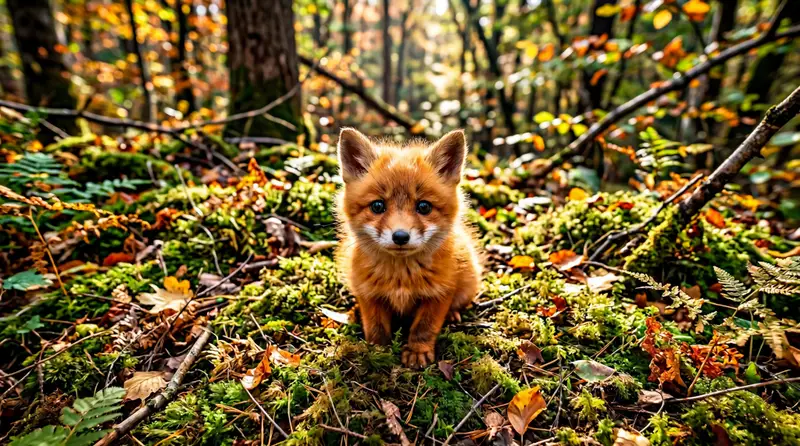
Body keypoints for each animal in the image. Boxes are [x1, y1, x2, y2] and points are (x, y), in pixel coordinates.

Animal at [335, 128, 482, 368]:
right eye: (378, 206)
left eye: (424, 206)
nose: (401, 236)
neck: (401, 277)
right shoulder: (369, 293)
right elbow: (375, 327)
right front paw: (378, 352)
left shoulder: (440, 292)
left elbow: (424, 327)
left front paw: (417, 351)